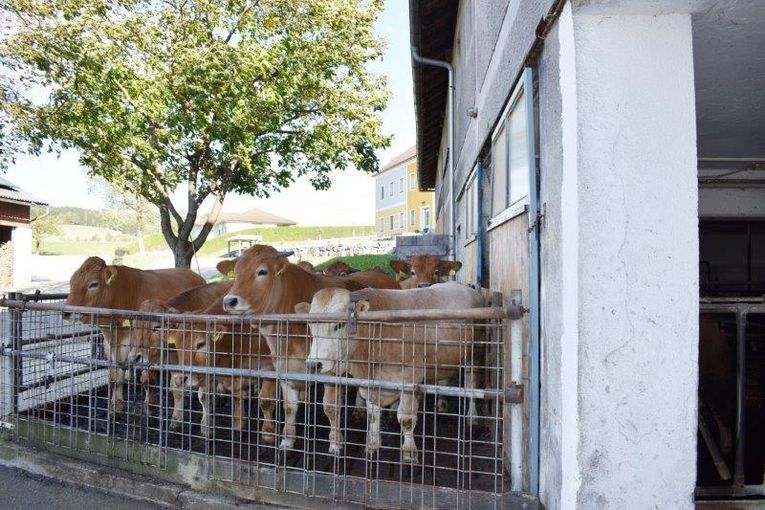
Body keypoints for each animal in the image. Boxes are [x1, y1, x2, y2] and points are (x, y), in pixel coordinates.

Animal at [65, 256, 204, 416]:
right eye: (71, 282)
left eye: (93, 284)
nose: (66, 312)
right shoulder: (111, 350)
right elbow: (116, 380)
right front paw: (115, 407)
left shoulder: (147, 351)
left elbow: (147, 380)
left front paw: (149, 407)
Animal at [127, 280, 233, 428]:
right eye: (135, 325)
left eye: (157, 327)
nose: (135, 357)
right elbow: (175, 390)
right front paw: (176, 420)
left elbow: (204, 395)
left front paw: (206, 424)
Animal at [221, 245, 368, 448]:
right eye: (235, 273)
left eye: (262, 272)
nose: (229, 301)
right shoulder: (284, 367)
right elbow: (289, 406)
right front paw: (287, 439)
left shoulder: (330, 369)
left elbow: (331, 407)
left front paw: (336, 443)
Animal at [298, 282, 484, 462]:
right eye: (310, 324)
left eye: (339, 324)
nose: (314, 364)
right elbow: (366, 413)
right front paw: (370, 445)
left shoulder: (409, 377)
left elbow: (407, 418)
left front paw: (409, 453)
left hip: (474, 354)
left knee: (471, 384)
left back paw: (472, 416)